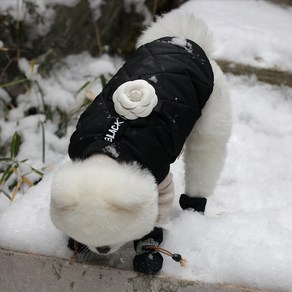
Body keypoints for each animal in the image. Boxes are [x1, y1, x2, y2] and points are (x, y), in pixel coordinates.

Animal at [50, 10, 233, 272]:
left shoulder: (158, 177)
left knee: (206, 156)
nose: (102, 250)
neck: (109, 150)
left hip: (212, 113)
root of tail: (183, 40)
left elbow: (155, 222)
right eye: (91, 238)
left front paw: (148, 253)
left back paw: (194, 207)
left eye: (113, 237)